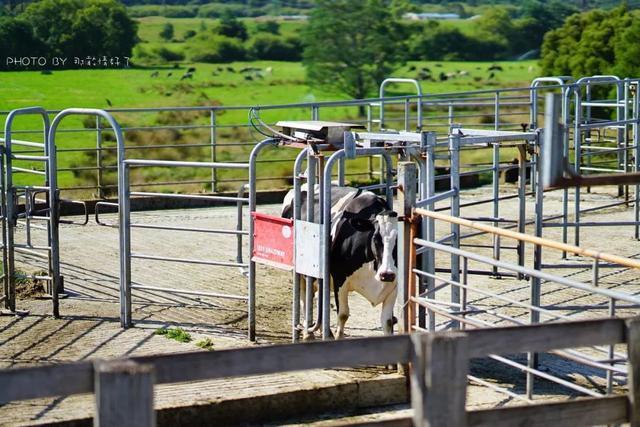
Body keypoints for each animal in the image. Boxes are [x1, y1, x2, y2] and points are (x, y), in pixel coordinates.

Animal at [282, 186, 398, 340]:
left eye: (398, 240)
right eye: (375, 238)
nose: (387, 274)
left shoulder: (393, 286)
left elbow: (388, 322)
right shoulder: (339, 280)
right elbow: (343, 315)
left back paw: (325, 332)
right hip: (298, 271)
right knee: (304, 298)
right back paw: (308, 333)